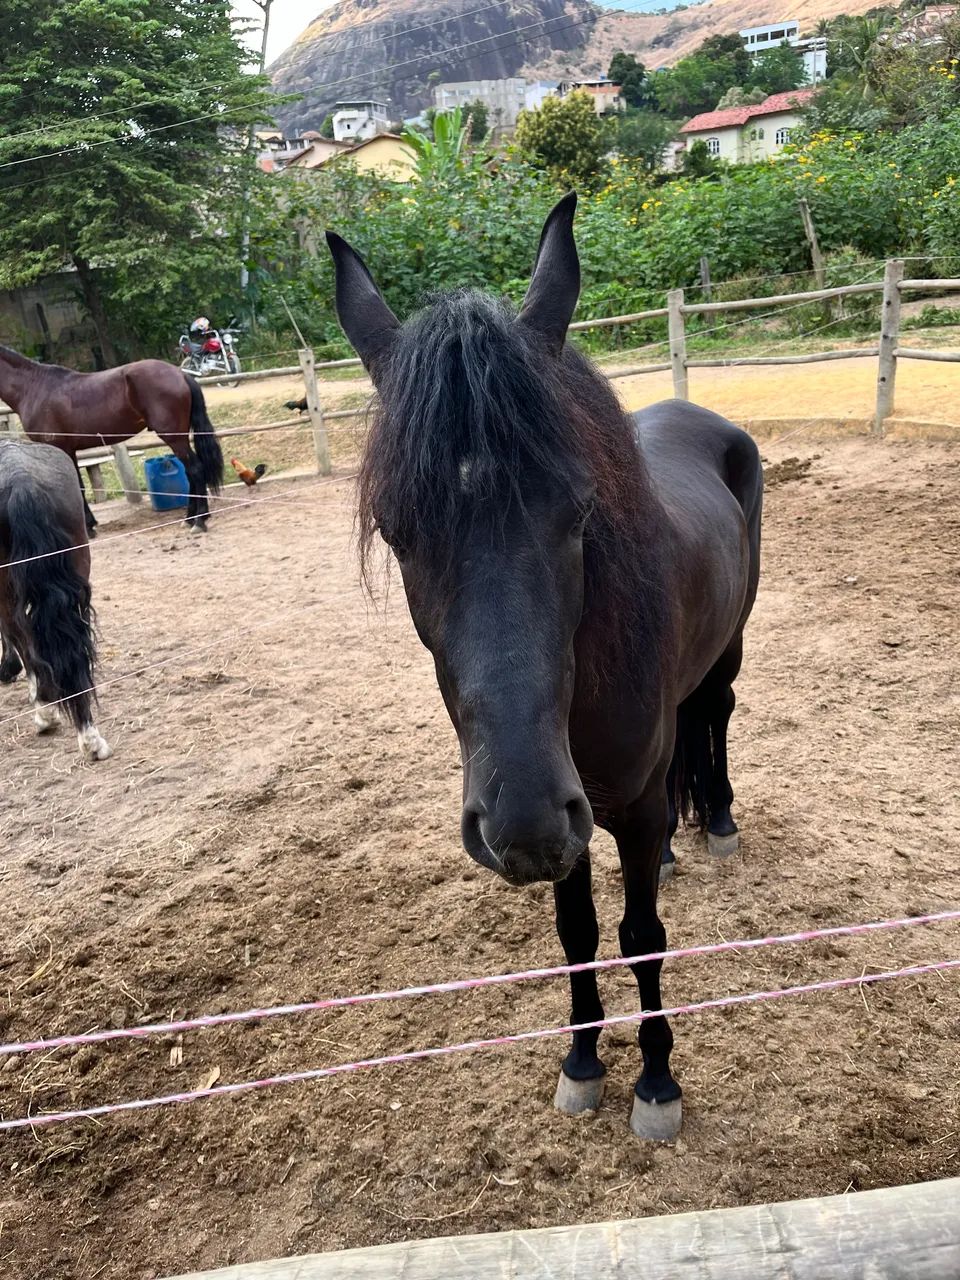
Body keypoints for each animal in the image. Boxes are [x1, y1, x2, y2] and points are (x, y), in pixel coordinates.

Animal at [0, 346, 224, 534]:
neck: (34, 387)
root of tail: (180, 374)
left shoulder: (58, 447)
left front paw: (87, 528)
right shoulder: (69, 450)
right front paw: (90, 524)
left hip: (174, 438)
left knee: (195, 469)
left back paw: (199, 521)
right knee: (190, 471)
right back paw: (189, 518)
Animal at [327, 193, 763, 1140]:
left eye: (580, 510)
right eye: (396, 529)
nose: (521, 817)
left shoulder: (613, 808)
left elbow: (642, 938)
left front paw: (657, 1082)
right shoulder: (571, 825)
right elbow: (579, 936)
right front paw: (583, 1061)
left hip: (731, 650)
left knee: (715, 714)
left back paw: (715, 821)